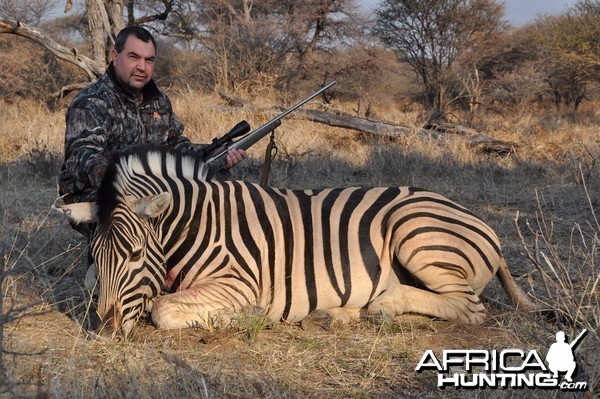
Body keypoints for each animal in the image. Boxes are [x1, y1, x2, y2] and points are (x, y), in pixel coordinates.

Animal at [54, 145, 536, 340]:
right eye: (95, 256)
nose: (105, 330)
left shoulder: (239, 283)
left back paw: (386, 303)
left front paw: (241, 318)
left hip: (415, 234)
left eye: (136, 254)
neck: (194, 224)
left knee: (467, 309)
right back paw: (336, 316)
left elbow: (162, 308)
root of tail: (482, 225)